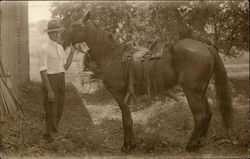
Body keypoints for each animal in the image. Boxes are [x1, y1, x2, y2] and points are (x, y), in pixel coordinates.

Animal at [60, 11, 232, 152]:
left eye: (75, 25)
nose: (61, 38)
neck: (112, 55)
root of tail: (206, 47)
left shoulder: (119, 95)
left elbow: (126, 120)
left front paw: (127, 146)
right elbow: (127, 119)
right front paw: (131, 144)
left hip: (192, 92)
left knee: (200, 116)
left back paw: (190, 145)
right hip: (201, 91)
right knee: (208, 114)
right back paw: (199, 143)